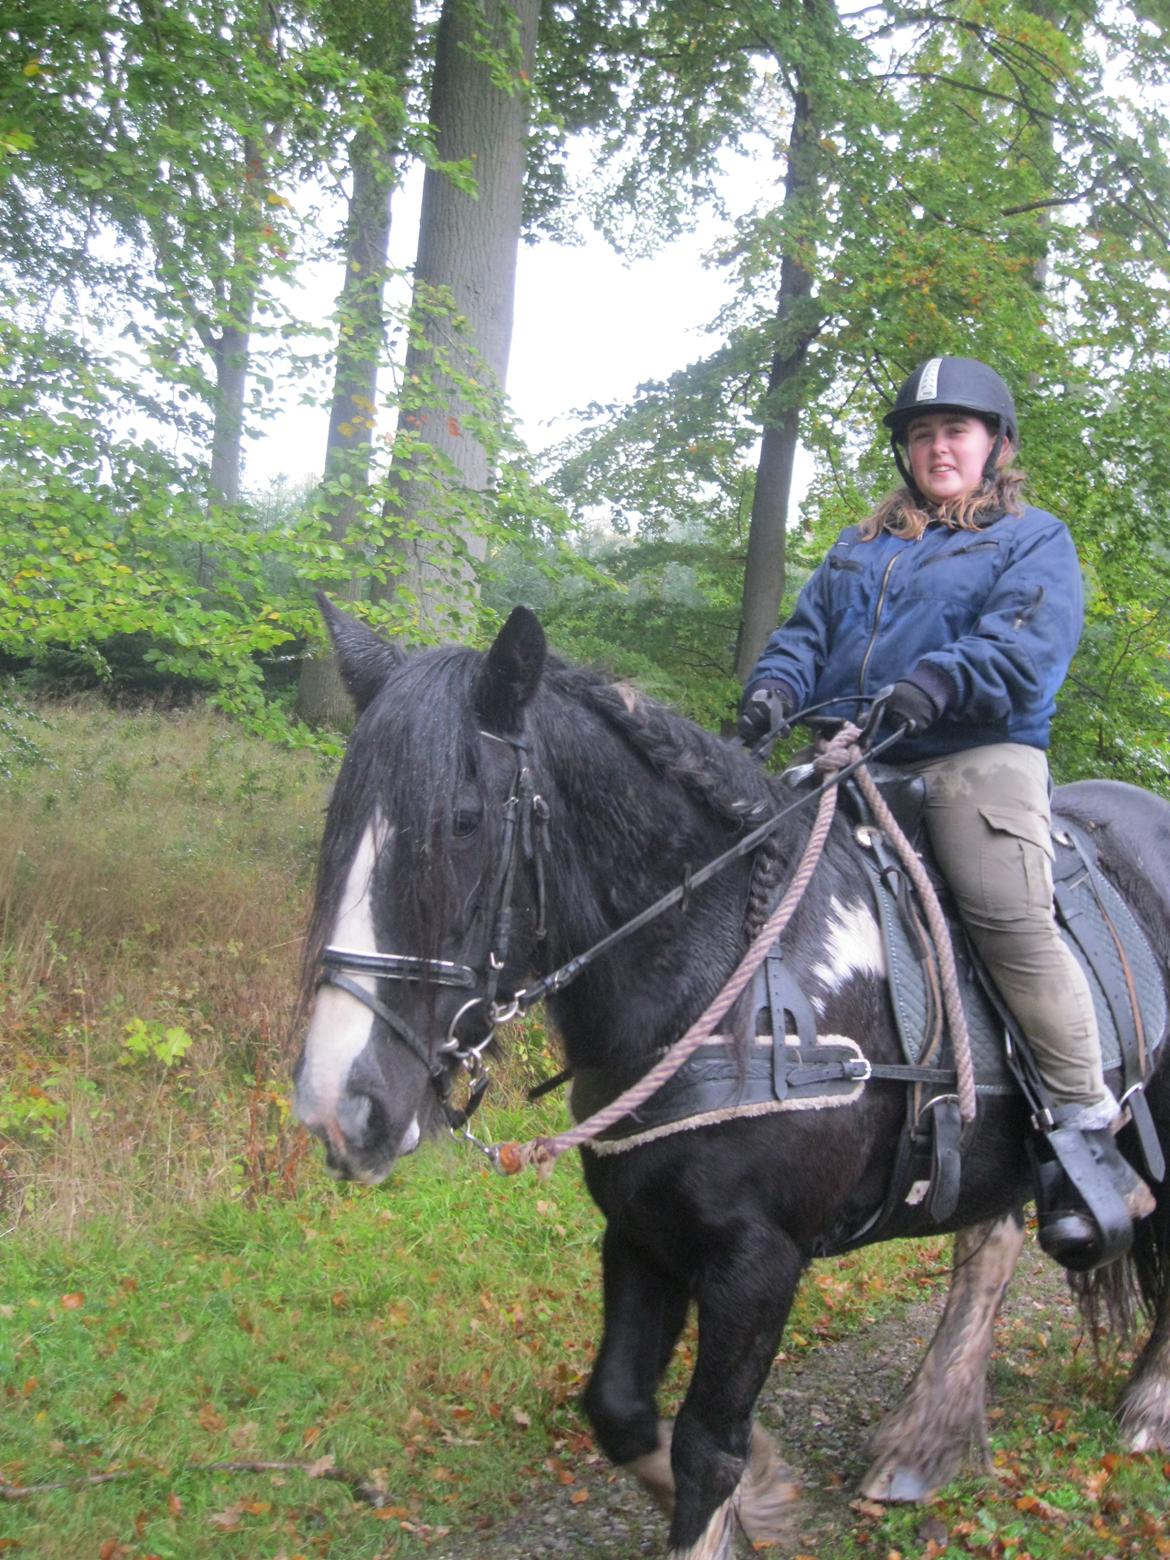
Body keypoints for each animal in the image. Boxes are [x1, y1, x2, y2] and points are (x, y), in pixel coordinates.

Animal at [294, 602, 1170, 1560]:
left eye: (461, 820)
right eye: (342, 819)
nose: (339, 1107)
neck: (729, 966)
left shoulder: (759, 1256)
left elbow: (708, 1446)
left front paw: (734, 1503)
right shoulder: (641, 1227)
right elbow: (620, 1410)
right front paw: (763, 1500)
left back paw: (1144, 1406)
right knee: (991, 1244)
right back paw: (924, 1441)